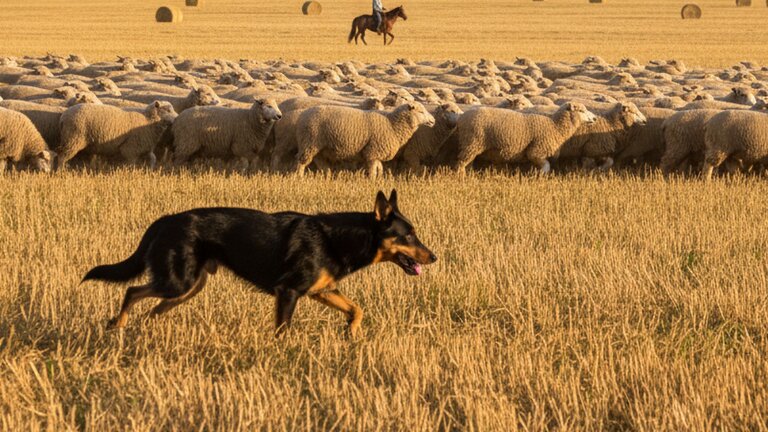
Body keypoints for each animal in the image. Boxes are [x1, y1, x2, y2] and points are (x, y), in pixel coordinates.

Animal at [294, 102, 435, 178]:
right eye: (421, 112)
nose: (433, 121)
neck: (392, 124)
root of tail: (302, 115)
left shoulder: (376, 154)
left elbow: (379, 169)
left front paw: (379, 180)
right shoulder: (373, 152)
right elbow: (373, 170)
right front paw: (372, 182)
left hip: (319, 148)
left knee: (321, 163)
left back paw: (327, 177)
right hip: (309, 143)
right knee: (301, 163)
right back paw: (299, 178)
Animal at [455, 102, 598, 174]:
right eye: (581, 111)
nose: (595, 118)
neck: (555, 126)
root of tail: (461, 118)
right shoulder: (536, 152)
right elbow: (546, 166)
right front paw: (540, 177)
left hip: (472, 145)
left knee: (468, 162)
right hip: (472, 143)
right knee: (461, 163)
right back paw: (461, 177)